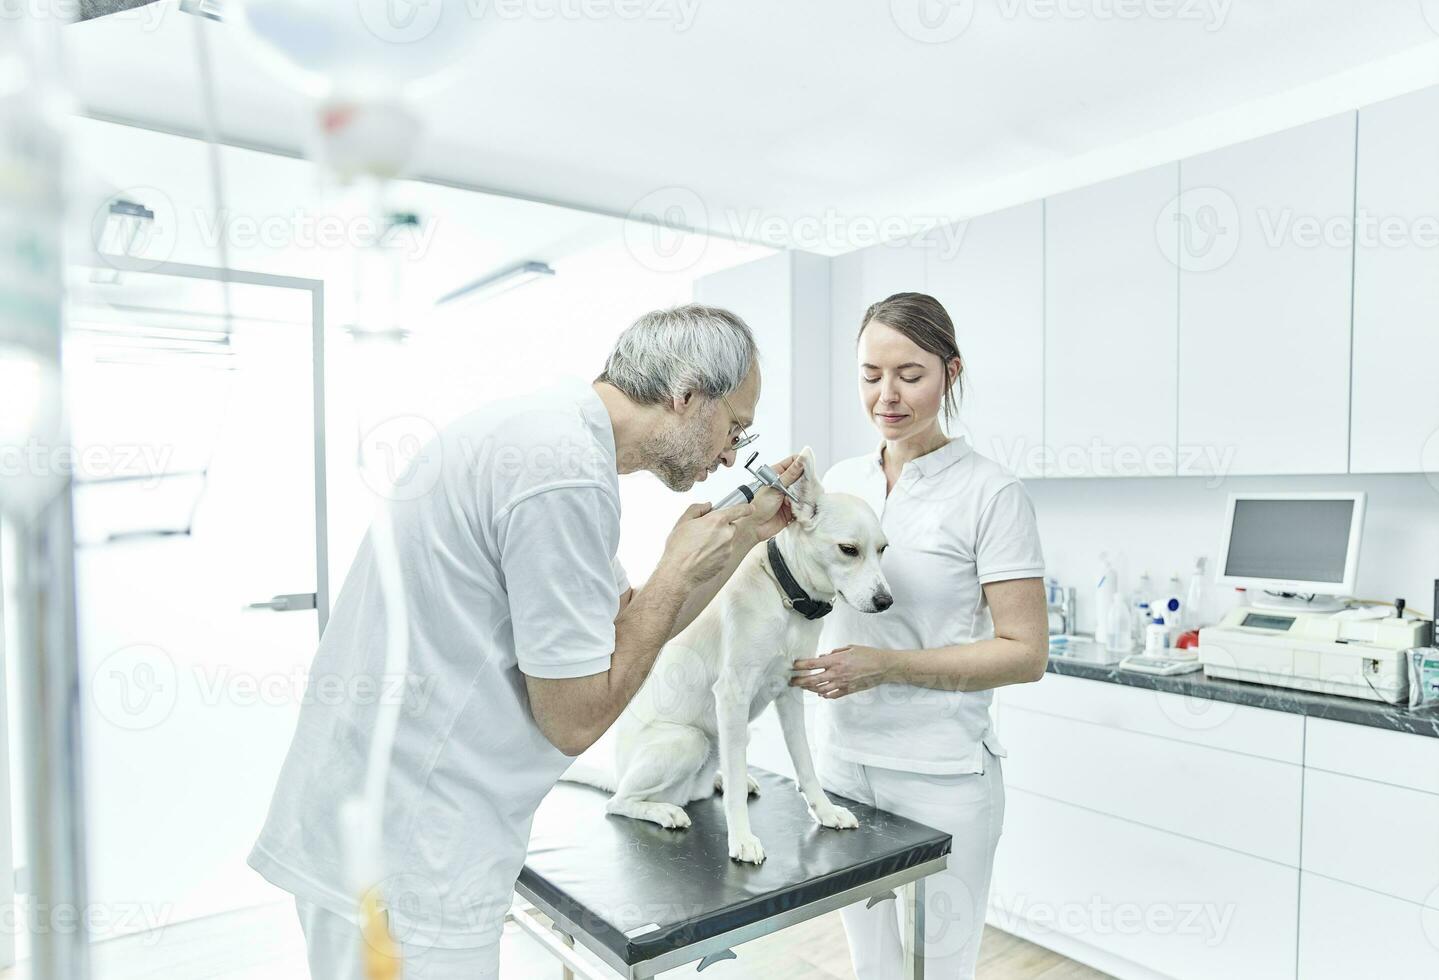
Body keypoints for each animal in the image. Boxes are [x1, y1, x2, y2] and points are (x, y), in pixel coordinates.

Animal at [564, 446, 892, 857]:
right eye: (849, 550)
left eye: (883, 549)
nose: (886, 601)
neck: (785, 597)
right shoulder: (733, 695)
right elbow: (737, 791)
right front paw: (742, 839)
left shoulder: (791, 692)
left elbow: (805, 764)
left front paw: (826, 811)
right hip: (689, 740)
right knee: (618, 802)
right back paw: (664, 810)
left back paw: (715, 782)